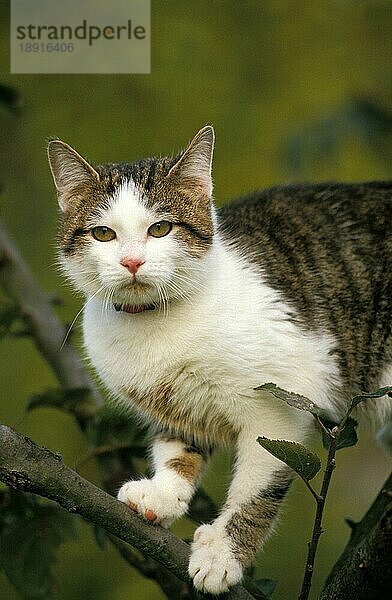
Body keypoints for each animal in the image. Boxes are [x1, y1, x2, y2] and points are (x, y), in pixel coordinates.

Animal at [49, 127, 392, 596]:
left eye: (160, 228)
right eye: (103, 234)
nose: (132, 261)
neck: (154, 322)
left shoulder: (284, 399)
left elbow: (259, 485)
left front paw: (223, 553)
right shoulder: (175, 401)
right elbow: (176, 446)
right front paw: (164, 493)